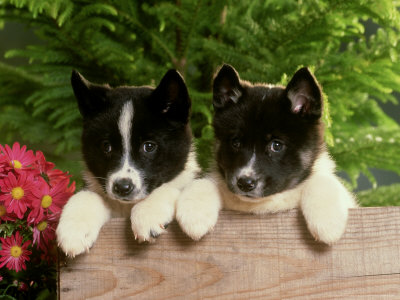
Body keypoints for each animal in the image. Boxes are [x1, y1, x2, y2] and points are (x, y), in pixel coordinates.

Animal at [56, 69, 219, 255]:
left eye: (149, 146)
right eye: (106, 146)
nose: (122, 188)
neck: (127, 207)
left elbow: (169, 186)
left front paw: (147, 214)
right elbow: (87, 195)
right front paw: (74, 231)